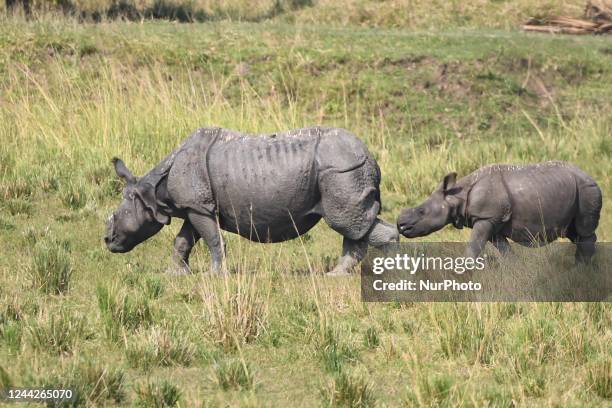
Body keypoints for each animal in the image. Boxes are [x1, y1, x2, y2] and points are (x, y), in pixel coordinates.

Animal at [103, 126, 400, 276]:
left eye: (119, 215)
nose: (107, 240)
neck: (153, 191)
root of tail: (370, 155)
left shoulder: (198, 207)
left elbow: (212, 240)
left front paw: (214, 276)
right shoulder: (196, 206)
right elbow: (183, 240)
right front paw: (175, 275)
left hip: (343, 169)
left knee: (345, 220)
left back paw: (389, 275)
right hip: (345, 168)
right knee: (354, 224)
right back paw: (336, 275)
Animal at [396, 161, 604, 262]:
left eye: (421, 211)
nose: (400, 225)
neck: (457, 195)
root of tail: (588, 174)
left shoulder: (486, 217)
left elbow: (473, 248)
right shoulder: (491, 221)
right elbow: (505, 251)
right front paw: (516, 272)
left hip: (587, 189)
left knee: (583, 231)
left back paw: (580, 269)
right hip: (574, 190)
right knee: (574, 233)